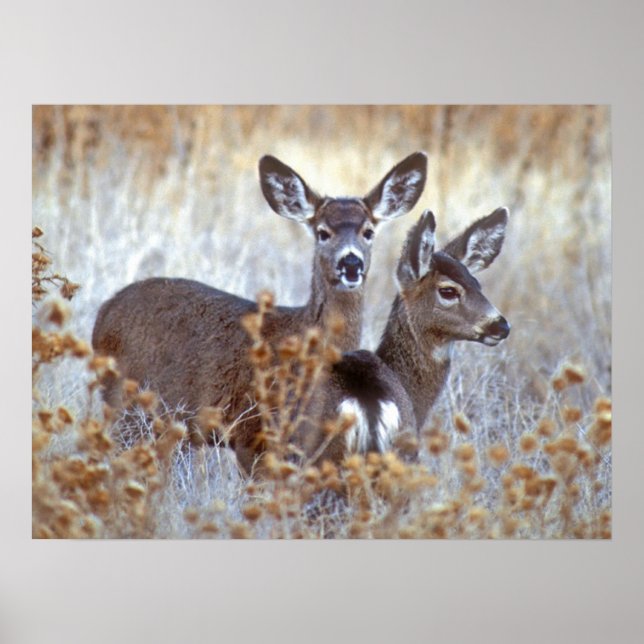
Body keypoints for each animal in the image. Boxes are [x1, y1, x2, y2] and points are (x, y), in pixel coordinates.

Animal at [92, 152, 428, 471]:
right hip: (126, 405)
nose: (351, 263)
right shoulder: (252, 434)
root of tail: (104, 311)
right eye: (322, 232)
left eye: (368, 231)